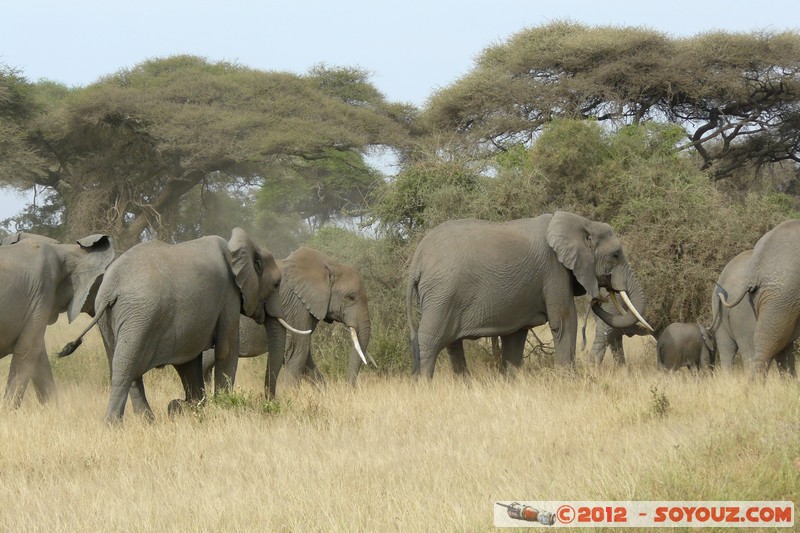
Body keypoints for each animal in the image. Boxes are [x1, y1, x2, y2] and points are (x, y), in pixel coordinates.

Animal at [0, 235, 115, 406]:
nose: (67, 348)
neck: (65, 249)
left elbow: (38, 356)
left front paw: (52, 409)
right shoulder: (42, 292)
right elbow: (28, 350)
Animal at [57, 228, 298, 420]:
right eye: (277, 284)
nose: (268, 400)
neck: (238, 249)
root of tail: (111, 290)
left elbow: (189, 361)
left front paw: (193, 408)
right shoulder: (228, 295)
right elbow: (225, 351)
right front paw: (222, 408)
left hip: (110, 320)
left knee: (124, 368)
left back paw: (147, 422)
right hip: (140, 317)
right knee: (125, 370)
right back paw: (116, 424)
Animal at [202, 245, 374, 394]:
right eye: (350, 297)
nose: (349, 390)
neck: (330, 265)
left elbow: (305, 358)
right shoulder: (297, 307)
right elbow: (297, 352)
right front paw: (291, 396)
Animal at [406, 210, 648, 376]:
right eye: (616, 255)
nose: (598, 299)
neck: (582, 222)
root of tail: (417, 259)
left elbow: (515, 337)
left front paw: (510, 382)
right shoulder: (554, 270)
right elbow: (564, 322)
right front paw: (569, 380)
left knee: (452, 344)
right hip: (442, 295)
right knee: (430, 341)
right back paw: (425, 385)